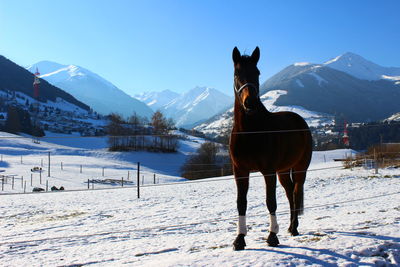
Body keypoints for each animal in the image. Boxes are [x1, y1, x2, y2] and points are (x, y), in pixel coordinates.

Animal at [231, 46, 312, 251]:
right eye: (237, 73)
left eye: (257, 72)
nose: (250, 103)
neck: (249, 132)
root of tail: (300, 120)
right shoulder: (240, 171)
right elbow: (241, 203)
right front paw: (239, 239)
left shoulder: (268, 171)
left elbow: (271, 202)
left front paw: (272, 236)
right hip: (282, 171)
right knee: (290, 193)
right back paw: (291, 226)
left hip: (300, 168)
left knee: (296, 192)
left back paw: (294, 228)